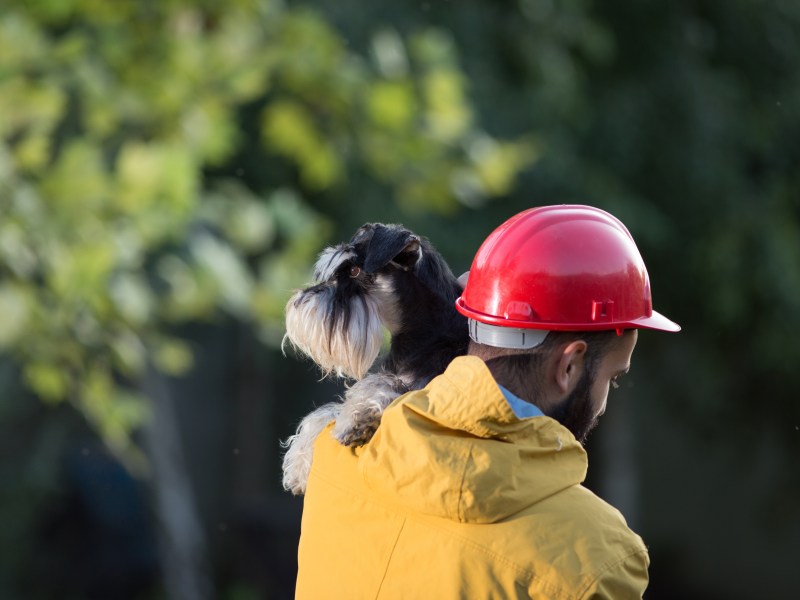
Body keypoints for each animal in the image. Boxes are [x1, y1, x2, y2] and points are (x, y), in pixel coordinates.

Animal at [282, 223, 468, 494]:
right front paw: (298, 461)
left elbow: (385, 387)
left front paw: (358, 419)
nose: (299, 302)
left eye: (355, 270)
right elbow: (326, 413)